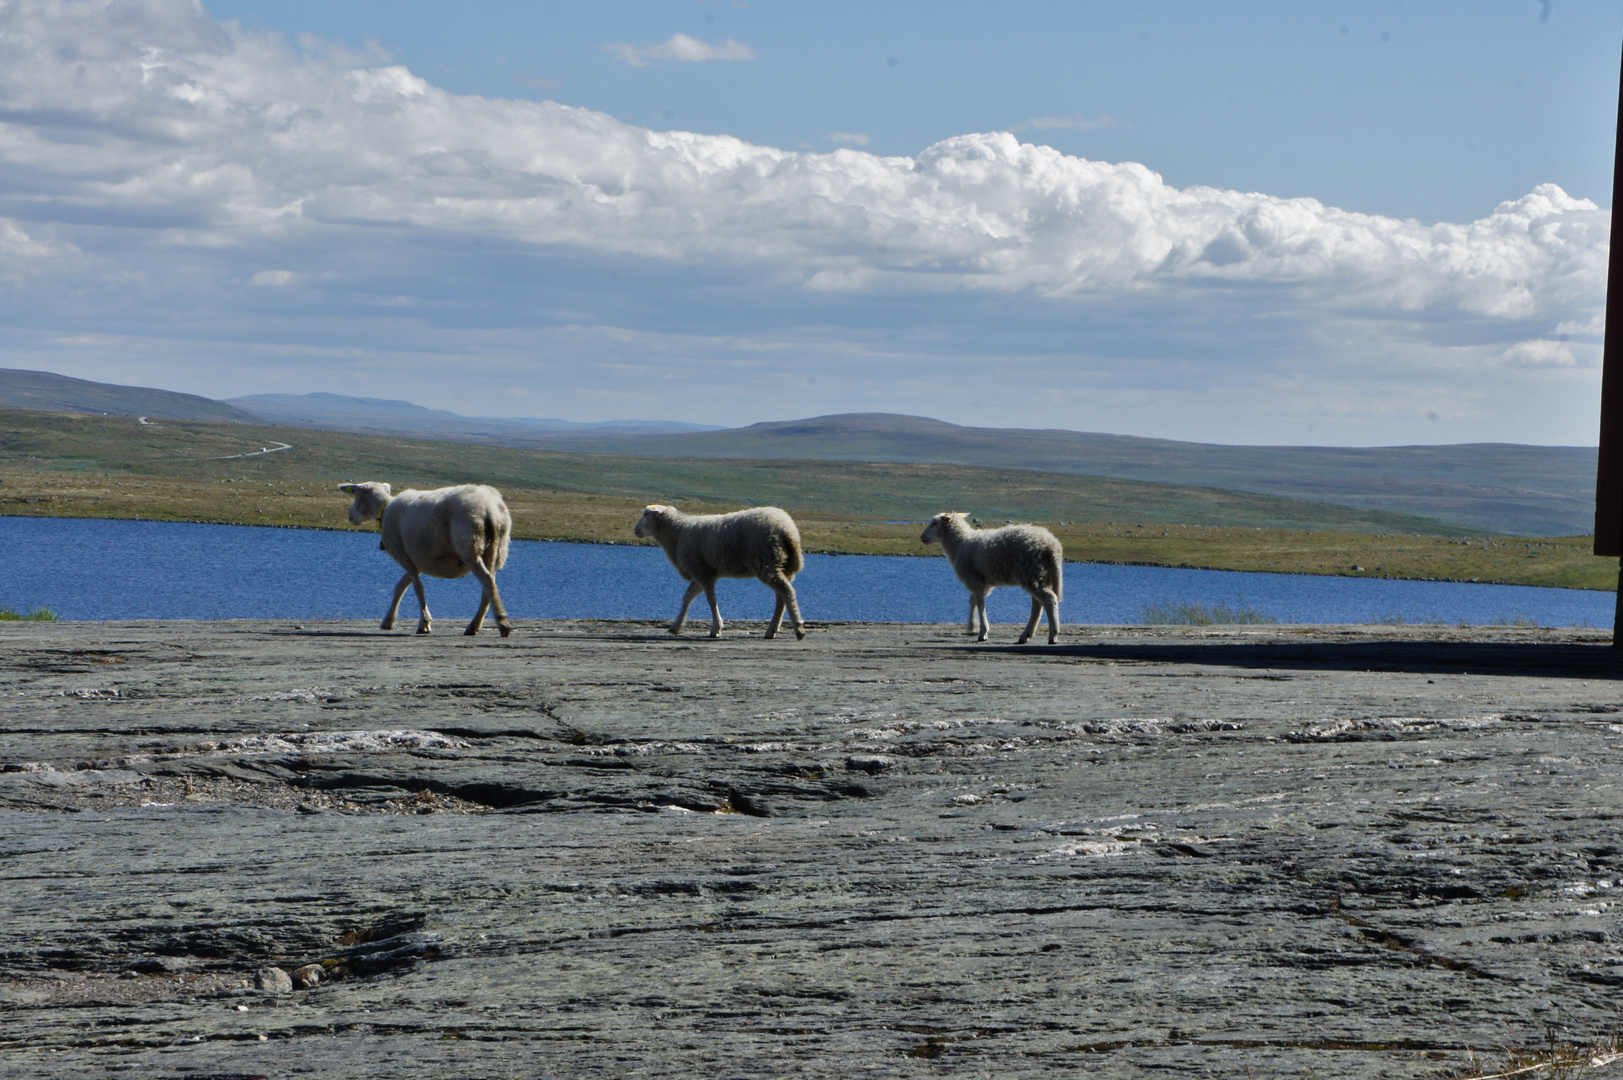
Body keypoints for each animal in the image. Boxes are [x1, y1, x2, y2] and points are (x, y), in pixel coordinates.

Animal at [339, 477, 516, 633]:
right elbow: (400, 586)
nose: (350, 516)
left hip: (469, 545)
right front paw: (388, 620)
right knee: (489, 584)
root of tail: (490, 510)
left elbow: (418, 588)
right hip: (496, 548)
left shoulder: (403, 554)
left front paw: (424, 623)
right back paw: (476, 625)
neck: (385, 509)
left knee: (487, 580)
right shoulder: (418, 560)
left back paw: (501, 623)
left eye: (356, 495)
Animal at [636, 506, 808, 639]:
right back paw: (772, 630)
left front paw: (716, 628)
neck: (677, 532)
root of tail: (787, 530)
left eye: (646, 514)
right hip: (780, 564)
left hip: (766, 560)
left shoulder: (702, 572)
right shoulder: (701, 570)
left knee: (787, 592)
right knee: (781, 597)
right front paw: (676, 626)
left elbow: (711, 601)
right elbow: (687, 597)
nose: (635, 530)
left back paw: (798, 629)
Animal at [928, 513, 1064, 643]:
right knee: (1038, 604)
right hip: (1039, 575)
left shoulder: (974, 579)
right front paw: (972, 626)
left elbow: (980, 603)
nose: (923, 538)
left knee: (1048, 599)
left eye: (934, 523)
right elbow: (973, 601)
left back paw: (1053, 635)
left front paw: (982, 632)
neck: (959, 543)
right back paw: (1026, 635)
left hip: (1032, 572)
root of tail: (1052, 546)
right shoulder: (980, 581)